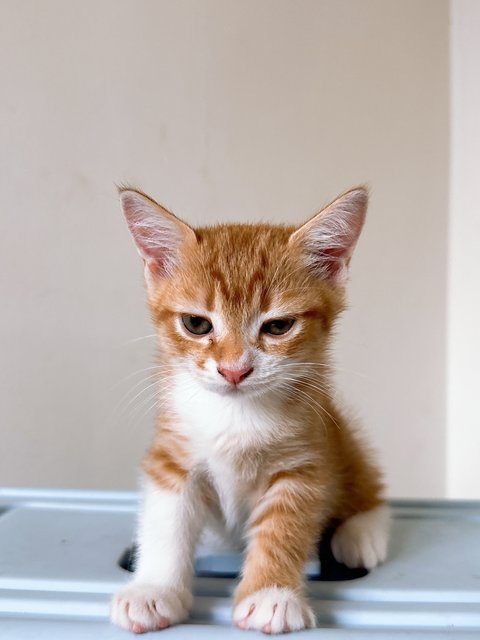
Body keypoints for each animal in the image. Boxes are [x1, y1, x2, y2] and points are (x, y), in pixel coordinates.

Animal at [110, 186, 388, 636]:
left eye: (278, 327)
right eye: (196, 324)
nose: (234, 370)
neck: (235, 414)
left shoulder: (304, 458)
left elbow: (284, 527)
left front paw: (271, 596)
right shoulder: (172, 453)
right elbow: (166, 520)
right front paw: (152, 590)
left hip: (338, 432)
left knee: (362, 476)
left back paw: (362, 531)